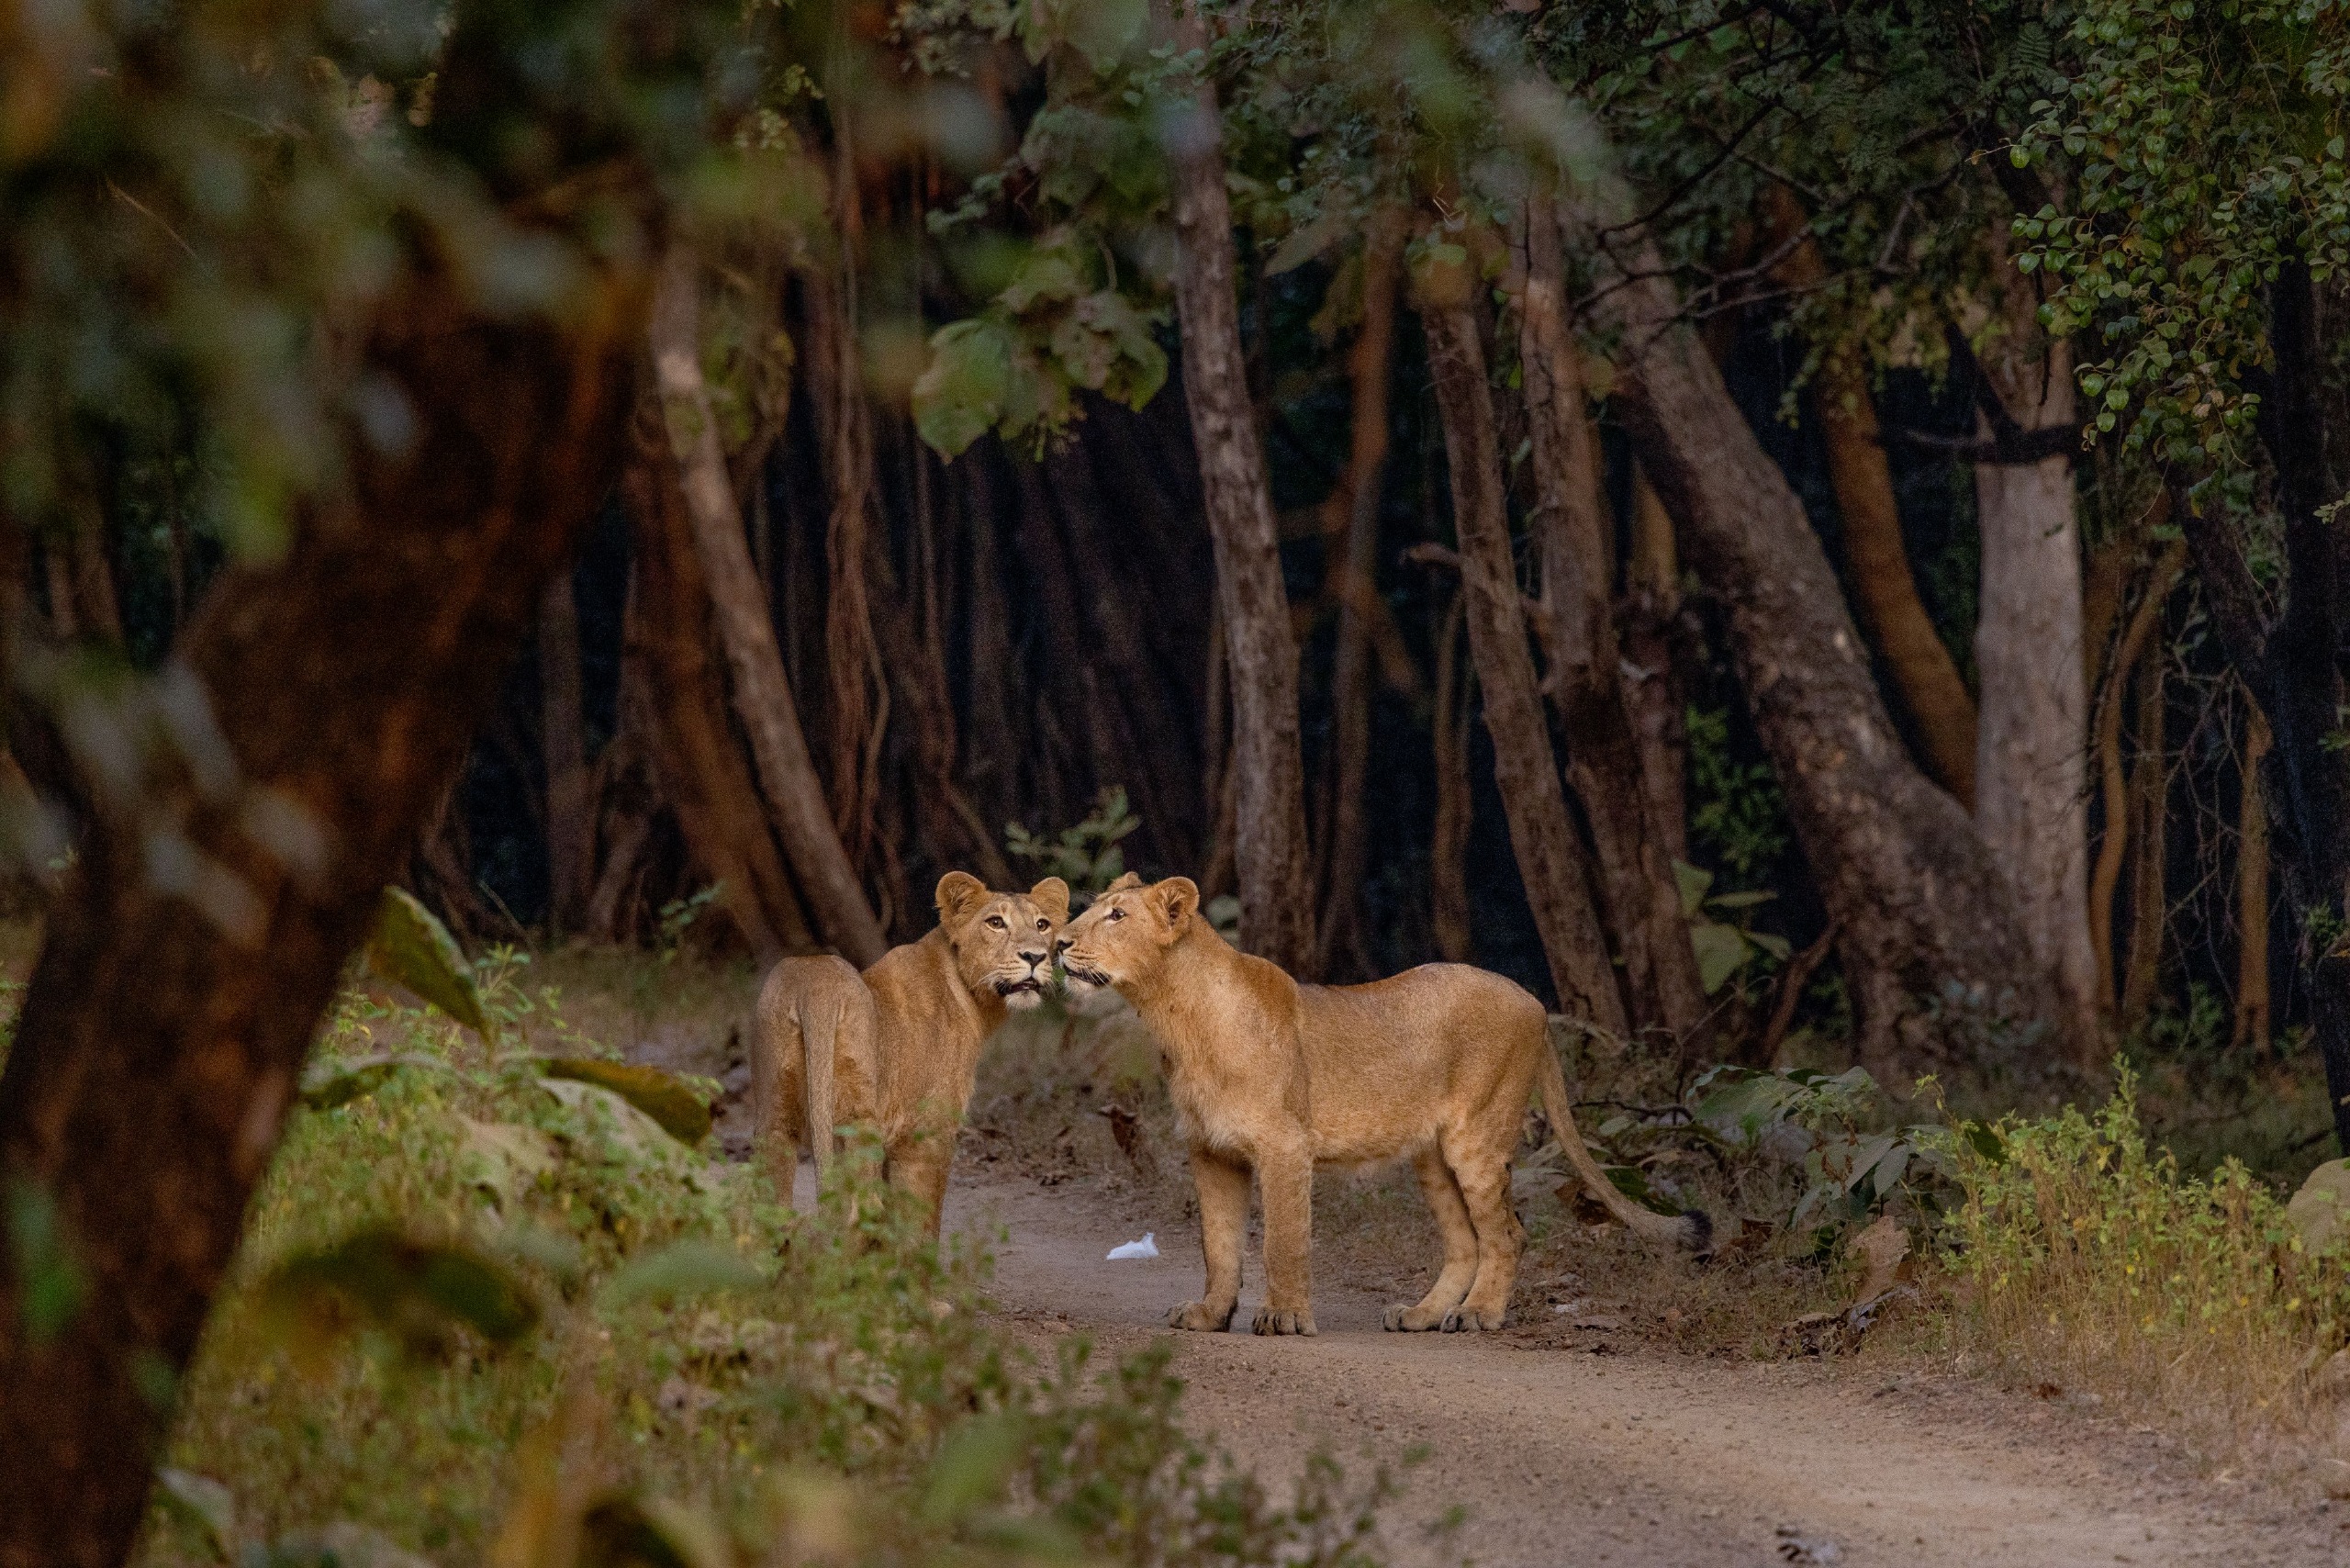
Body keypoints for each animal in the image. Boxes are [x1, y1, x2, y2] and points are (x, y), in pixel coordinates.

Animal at [751, 871, 1069, 1236]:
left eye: (1043, 925)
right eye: (995, 923)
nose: (1035, 957)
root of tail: (815, 989)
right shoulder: (927, 1134)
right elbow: (921, 1222)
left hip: (774, 1118)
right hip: (856, 1124)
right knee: (855, 1214)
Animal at [1054, 872, 1708, 1335]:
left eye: (1116, 916)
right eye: (1091, 908)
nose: (1058, 941)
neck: (1174, 1018)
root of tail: (1535, 1004)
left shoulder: (1285, 1145)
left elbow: (1283, 1240)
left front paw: (1284, 1318)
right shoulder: (1211, 1151)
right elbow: (1218, 1245)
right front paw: (1210, 1316)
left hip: (1477, 1139)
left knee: (1508, 1235)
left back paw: (1479, 1315)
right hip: (1433, 1157)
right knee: (1465, 1242)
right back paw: (1422, 1315)